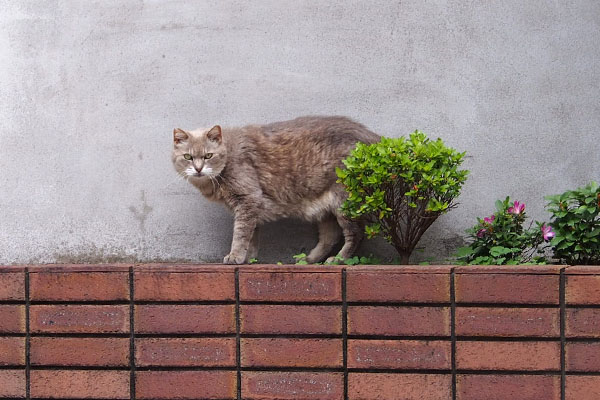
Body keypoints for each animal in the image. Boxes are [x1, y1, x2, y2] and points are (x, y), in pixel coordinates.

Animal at [172, 115, 380, 264]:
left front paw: (234, 256)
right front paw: (248, 258)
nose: (198, 169)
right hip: (325, 208)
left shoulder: (248, 199)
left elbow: (240, 234)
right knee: (330, 236)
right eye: (188, 157)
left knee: (356, 234)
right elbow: (252, 236)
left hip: (345, 202)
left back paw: (338, 260)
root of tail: (375, 138)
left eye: (208, 155)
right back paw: (310, 259)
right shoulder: (251, 206)